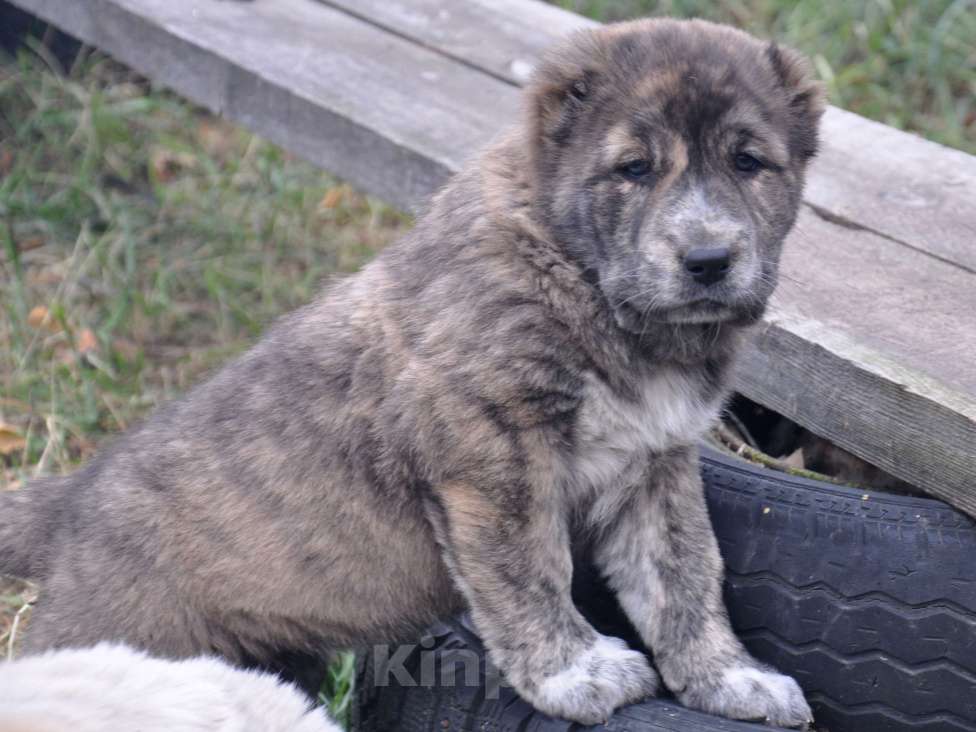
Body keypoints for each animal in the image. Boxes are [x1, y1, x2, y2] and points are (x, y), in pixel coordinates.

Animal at [0, 17, 824, 728]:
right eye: (634, 169)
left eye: (748, 162)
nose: (709, 260)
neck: (577, 276)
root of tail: (71, 502)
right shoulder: (493, 455)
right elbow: (532, 572)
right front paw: (575, 673)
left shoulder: (656, 462)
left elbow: (685, 575)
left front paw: (730, 678)